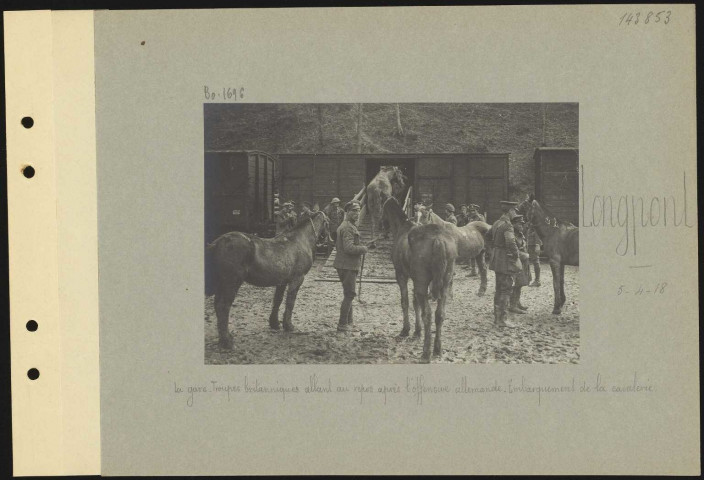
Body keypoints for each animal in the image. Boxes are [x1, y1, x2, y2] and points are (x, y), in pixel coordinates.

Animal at [205, 212, 332, 346]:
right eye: (328, 222)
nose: (327, 240)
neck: (300, 240)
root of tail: (218, 242)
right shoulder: (297, 280)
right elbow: (290, 302)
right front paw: (288, 325)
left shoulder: (282, 282)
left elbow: (278, 300)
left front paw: (274, 323)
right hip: (231, 282)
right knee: (223, 306)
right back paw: (227, 341)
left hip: (223, 283)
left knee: (217, 305)